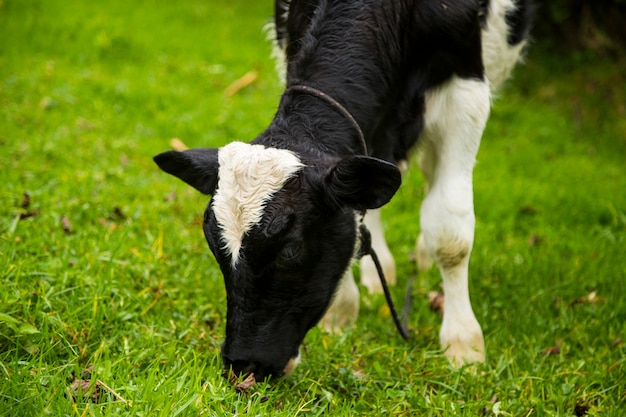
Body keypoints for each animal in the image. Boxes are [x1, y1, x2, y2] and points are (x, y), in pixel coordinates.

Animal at [154, 0, 528, 380]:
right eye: (215, 245)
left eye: (289, 251)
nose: (244, 364)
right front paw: (342, 312)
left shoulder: (464, 88)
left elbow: (450, 232)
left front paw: (463, 343)